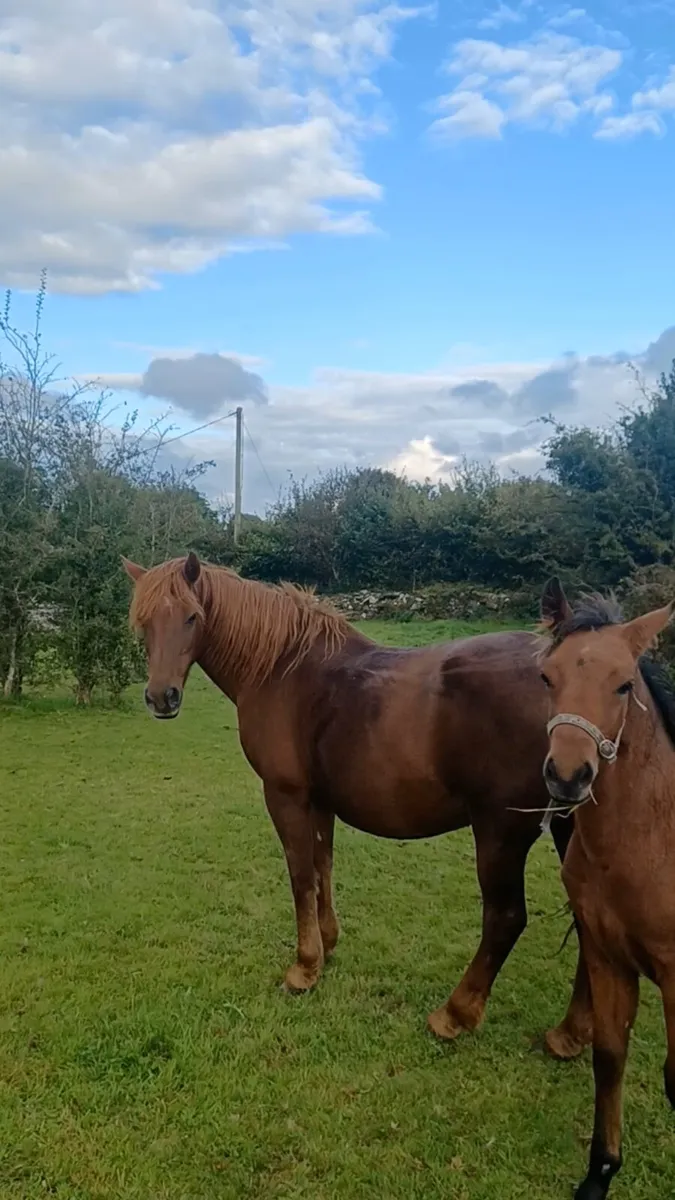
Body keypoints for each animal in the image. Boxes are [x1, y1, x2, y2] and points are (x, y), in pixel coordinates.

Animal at [122, 551, 592, 1054]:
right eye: (144, 621)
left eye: (192, 617)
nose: (161, 697)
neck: (282, 669)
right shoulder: (321, 801)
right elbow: (323, 867)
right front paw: (326, 946)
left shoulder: (286, 796)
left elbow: (301, 876)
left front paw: (304, 968)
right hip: (568, 829)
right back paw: (570, 1034)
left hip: (499, 833)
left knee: (505, 919)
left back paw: (455, 1014)